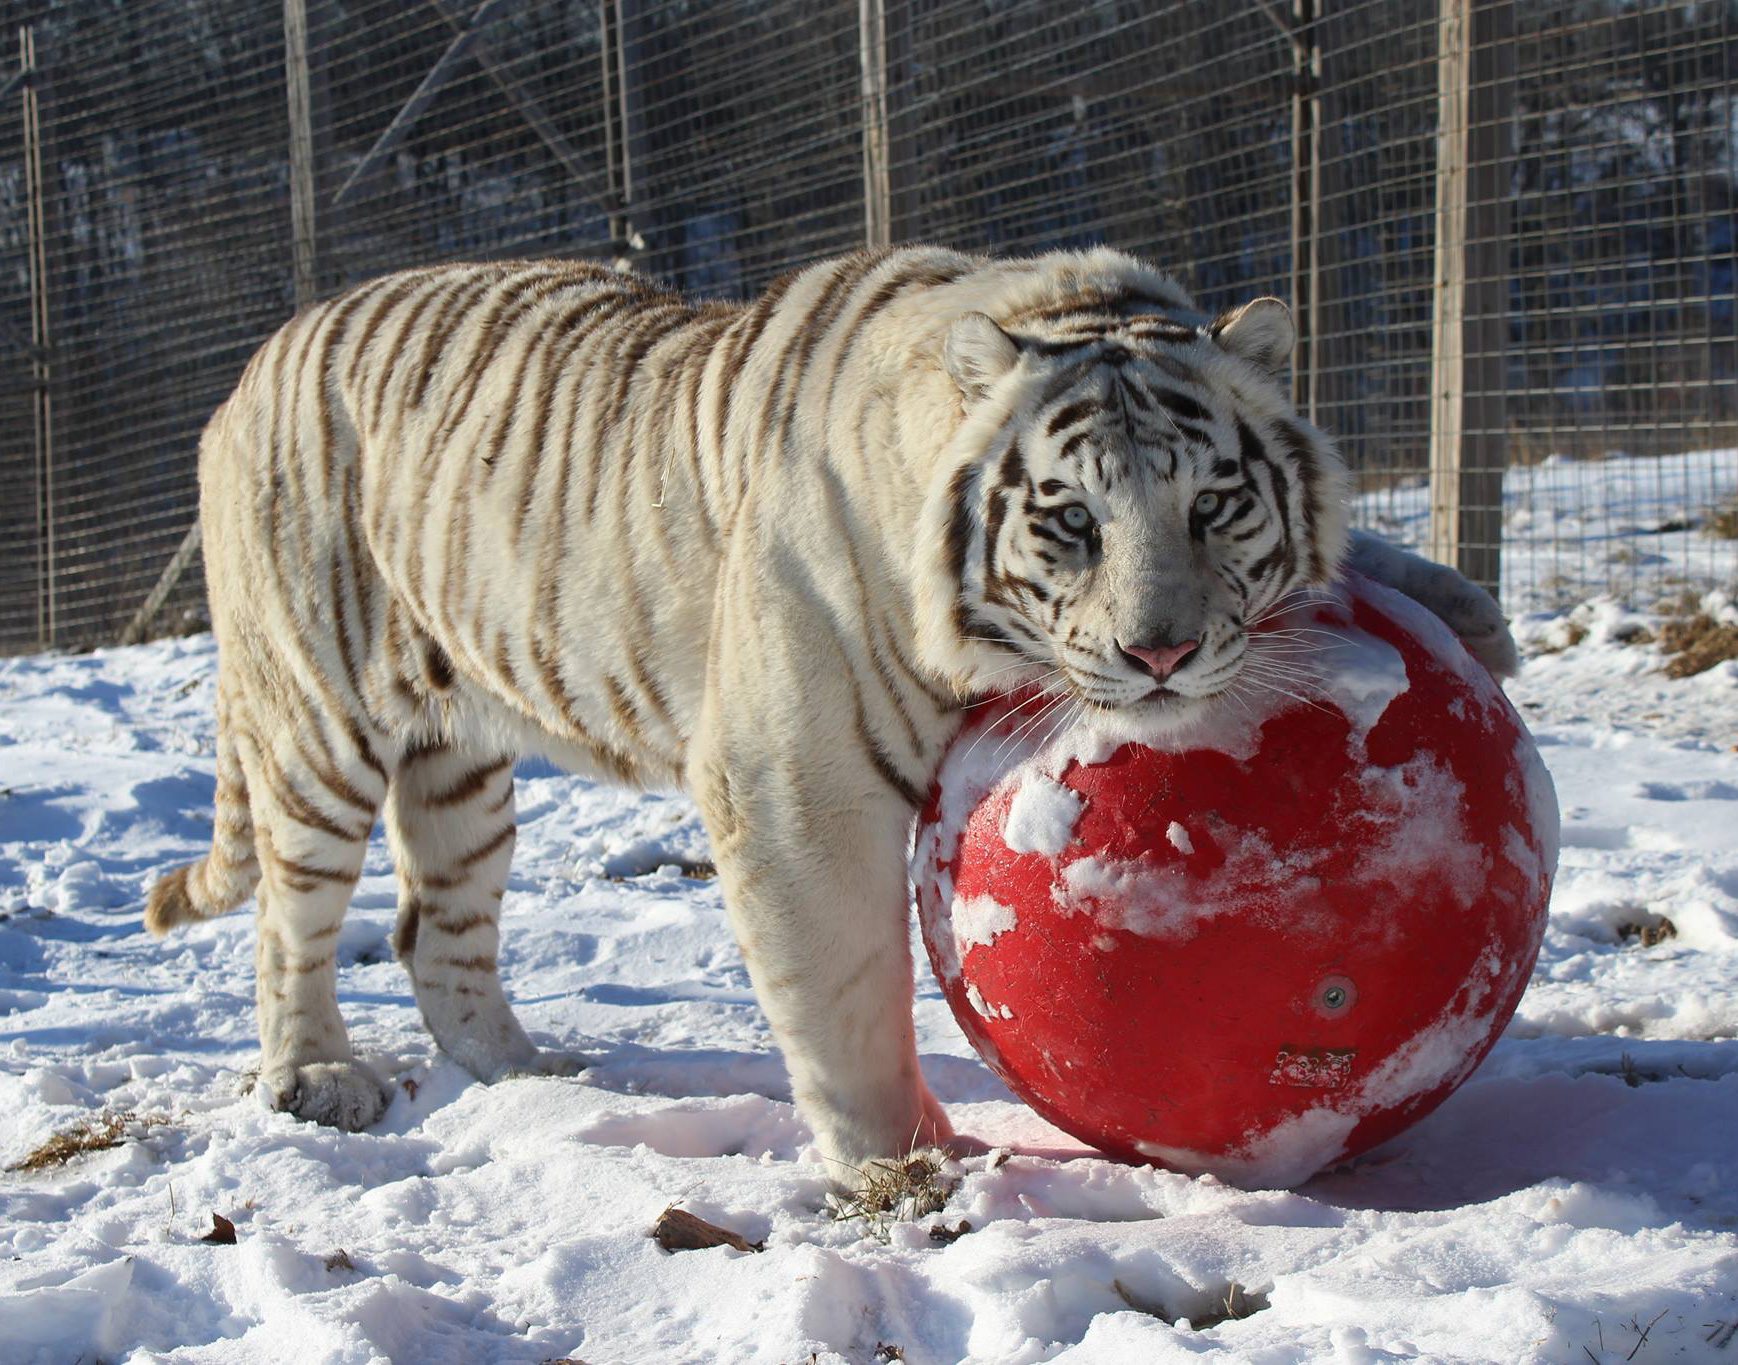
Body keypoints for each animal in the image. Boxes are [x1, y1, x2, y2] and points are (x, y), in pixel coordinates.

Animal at [149, 246, 1515, 1182]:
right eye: (1071, 519)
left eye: (1216, 504)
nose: (1162, 650)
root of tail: (249, 369)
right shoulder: (793, 783)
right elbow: (847, 991)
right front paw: (900, 1166)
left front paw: (1469, 612)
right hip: (316, 725)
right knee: (291, 919)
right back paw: (319, 1077)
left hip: (460, 772)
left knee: (435, 935)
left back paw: (533, 1083)